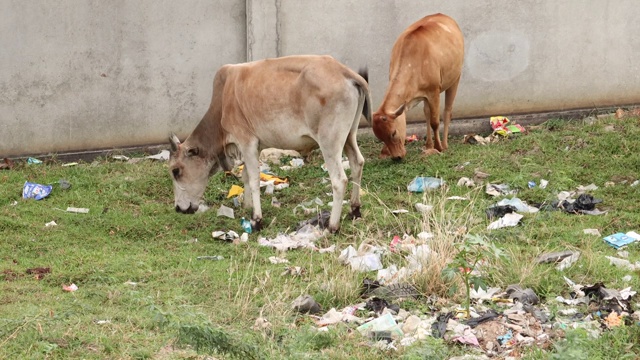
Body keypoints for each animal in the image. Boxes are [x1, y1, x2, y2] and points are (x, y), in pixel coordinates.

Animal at [168, 54, 372, 232]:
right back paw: (354, 209)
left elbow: (254, 179)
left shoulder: (247, 141)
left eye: (176, 171)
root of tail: (344, 71)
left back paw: (332, 226)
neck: (222, 104)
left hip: (329, 142)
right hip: (349, 136)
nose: (178, 208)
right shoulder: (254, 146)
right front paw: (247, 207)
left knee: (339, 180)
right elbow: (246, 176)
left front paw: (256, 220)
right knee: (357, 163)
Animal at [370, 13, 464, 160]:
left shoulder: (434, 91)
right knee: (426, 112)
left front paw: (439, 147)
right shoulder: (424, 94)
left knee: (447, 111)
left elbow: (435, 122)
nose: (397, 157)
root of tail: (443, 15)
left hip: (455, 78)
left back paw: (444, 144)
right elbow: (428, 116)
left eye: (393, 133)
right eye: (380, 138)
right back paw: (428, 144)